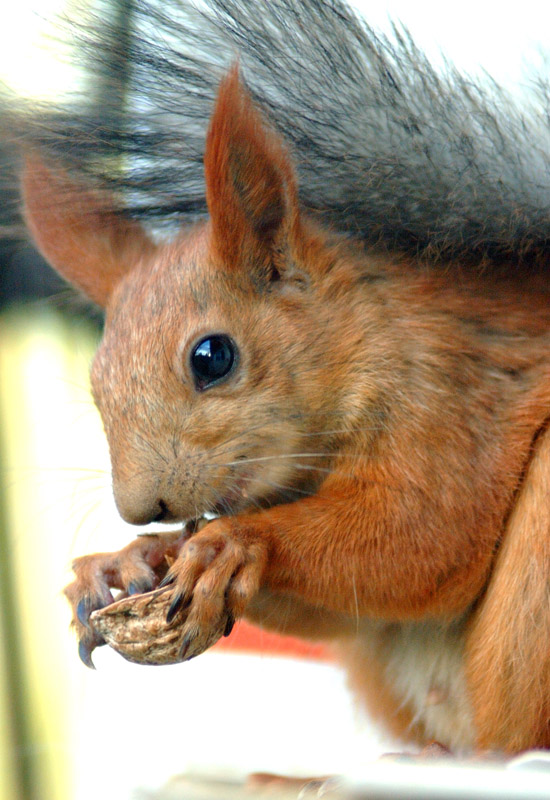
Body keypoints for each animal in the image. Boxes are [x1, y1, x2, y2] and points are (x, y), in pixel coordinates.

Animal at [12, 0, 550, 756]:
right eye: (95, 385)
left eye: (212, 357)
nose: (140, 509)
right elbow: (348, 612)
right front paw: (127, 559)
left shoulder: (449, 396)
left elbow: (425, 535)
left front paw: (232, 543)